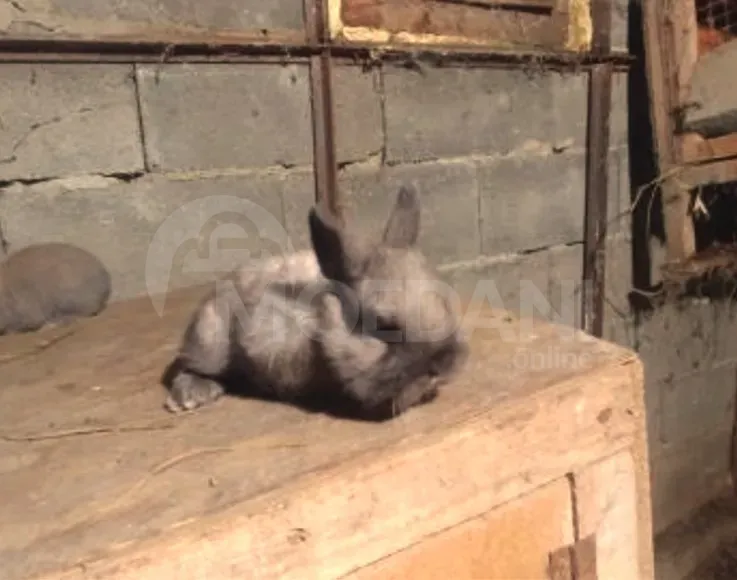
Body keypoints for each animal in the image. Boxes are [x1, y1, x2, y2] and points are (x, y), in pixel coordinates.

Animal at [163, 184, 469, 420]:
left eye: (447, 304)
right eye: (382, 325)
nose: (445, 364)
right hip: (209, 339)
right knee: (189, 366)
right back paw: (192, 395)